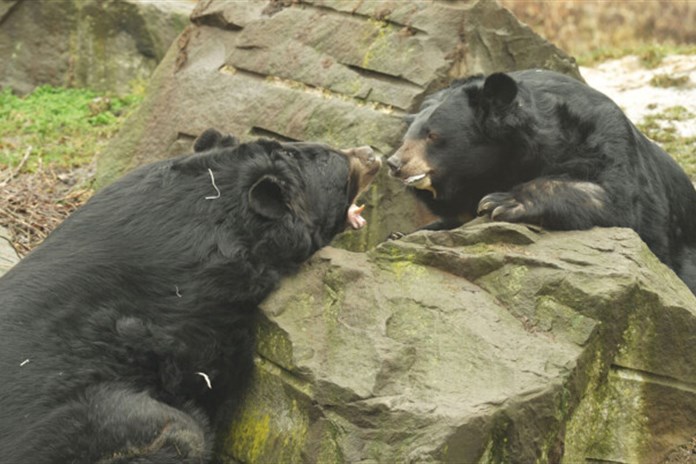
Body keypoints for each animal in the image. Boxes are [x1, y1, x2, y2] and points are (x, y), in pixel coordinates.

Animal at [386, 69, 696, 294]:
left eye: (432, 135)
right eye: (406, 138)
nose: (394, 164)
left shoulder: (607, 138)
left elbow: (619, 200)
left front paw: (501, 202)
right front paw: (400, 234)